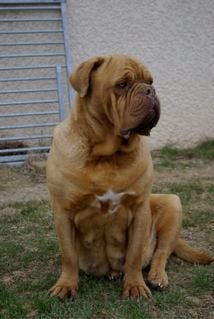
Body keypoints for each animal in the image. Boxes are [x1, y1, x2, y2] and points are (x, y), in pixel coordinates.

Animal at [46, 54, 212, 300]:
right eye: (122, 84)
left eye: (150, 81)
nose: (150, 90)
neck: (107, 155)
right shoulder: (63, 211)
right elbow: (68, 255)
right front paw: (66, 286)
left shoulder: (139, 210)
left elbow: (134, 255)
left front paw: (135, 286)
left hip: (172, 203)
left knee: (162, 252)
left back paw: (156, 276)